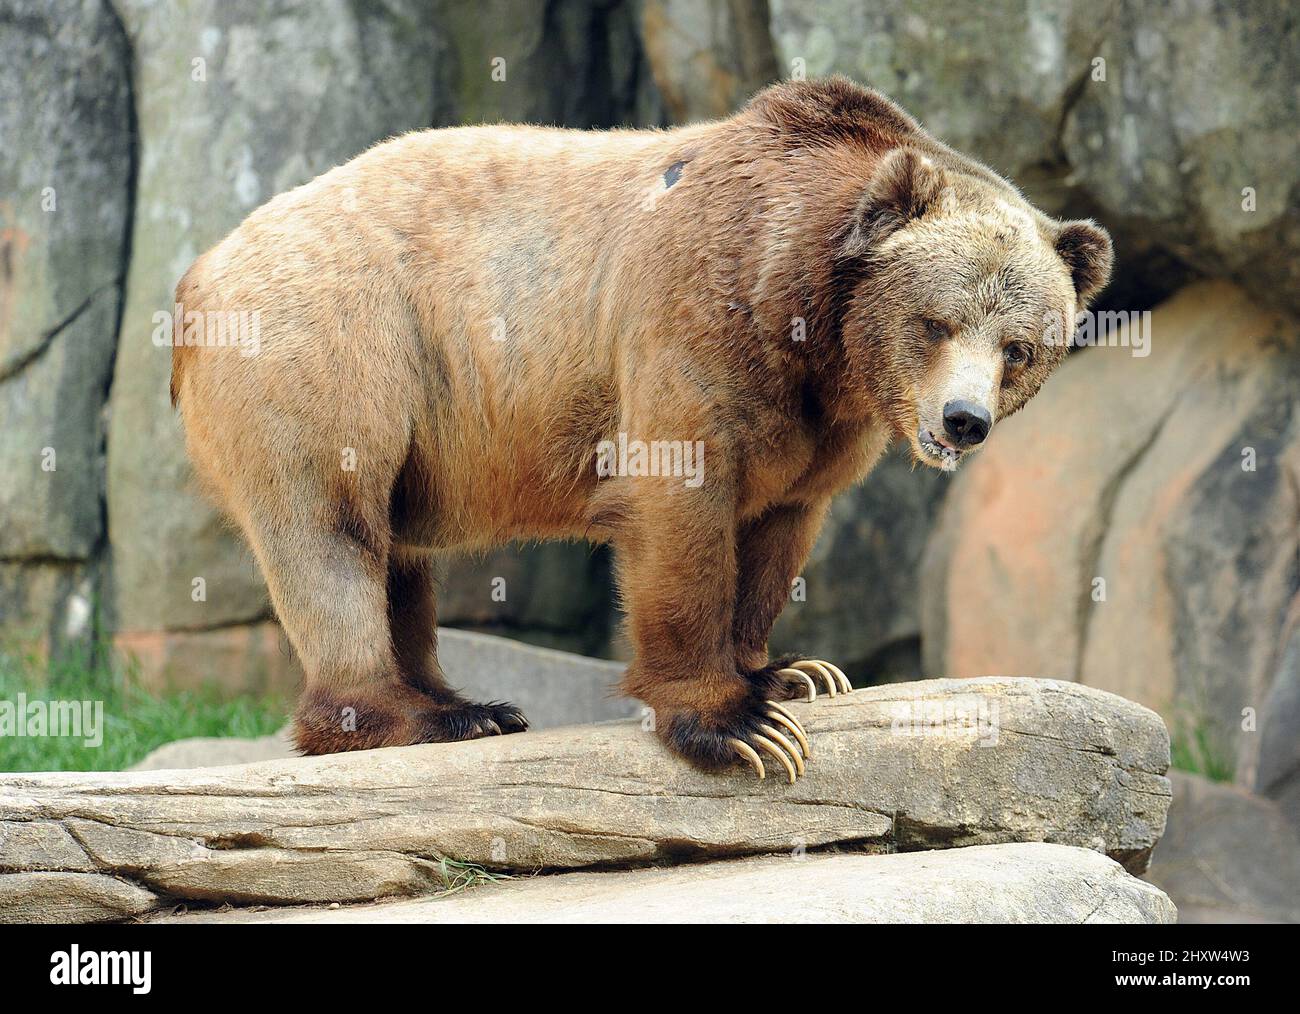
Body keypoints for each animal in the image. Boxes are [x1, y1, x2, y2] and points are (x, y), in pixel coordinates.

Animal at [170, 77, 1112, 782]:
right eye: (935, 322)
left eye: (1019, 347)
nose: (964, 419)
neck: (814, 321)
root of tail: (201, 269)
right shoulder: (696, 316)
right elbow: (679, 504)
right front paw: (736, 725)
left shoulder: (818, 423)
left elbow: (779, 527)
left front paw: (795, 673)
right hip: (341, 347)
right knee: (331, 529)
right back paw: (415, 716)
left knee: (396, 555)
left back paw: (462, 702)